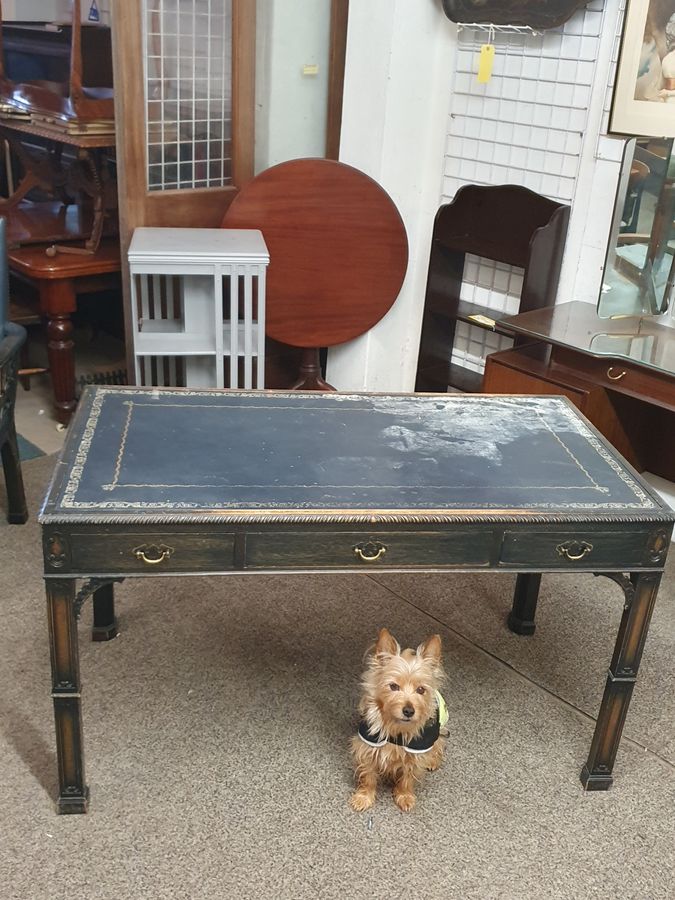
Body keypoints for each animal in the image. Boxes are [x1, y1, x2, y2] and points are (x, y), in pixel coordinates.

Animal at [348, 628, 448, 812]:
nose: (409, 711)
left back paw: (433, 761)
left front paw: (405, 796)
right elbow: (368, 774)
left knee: (439, 744)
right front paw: (363, 797)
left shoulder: (417, 752)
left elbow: (408, 777)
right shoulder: (368, 745)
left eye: (421, 689)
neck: (397, 727)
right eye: (393, 686)